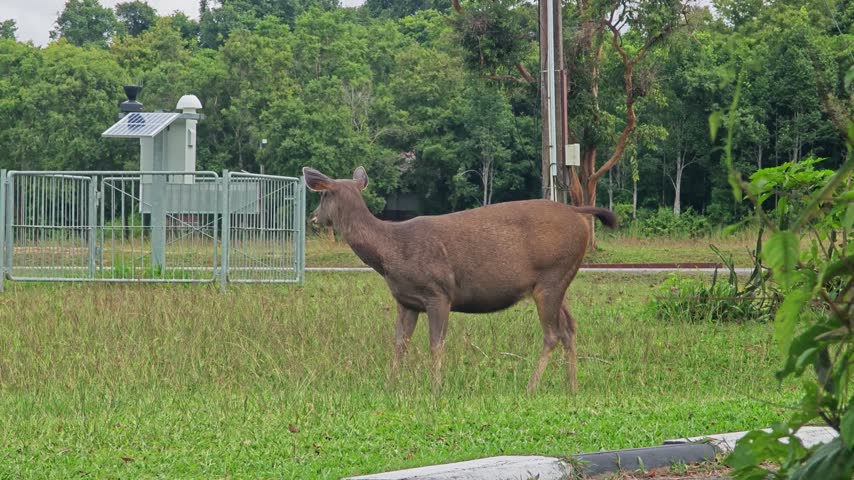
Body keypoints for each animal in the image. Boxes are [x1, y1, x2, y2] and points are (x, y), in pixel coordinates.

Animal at [303, 166, 617, 392]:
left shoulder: (439, 292)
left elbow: (436, 343)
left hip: (552, 275)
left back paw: (531, 386)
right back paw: (572, 386)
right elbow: (400, 343)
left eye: (323, 196)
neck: (390, 251)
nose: (313, 217)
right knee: (569, 327)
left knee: (552, 333)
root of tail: (577, 212)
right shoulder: (406, 300)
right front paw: (391, 384)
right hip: (558, 280)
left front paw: (436, 387)